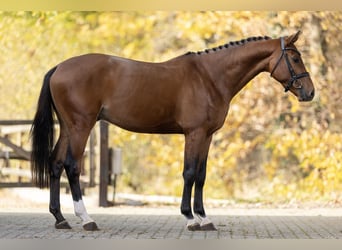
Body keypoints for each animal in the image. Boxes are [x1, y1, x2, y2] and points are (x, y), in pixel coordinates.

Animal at [31, 31, 316, 232]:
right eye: (294, 58)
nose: (310, 92)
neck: (210, 77)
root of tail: (59, 68)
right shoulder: (194, 133)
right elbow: (189, 173)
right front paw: (190, 218)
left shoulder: (207, 136)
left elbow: (201, 175)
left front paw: (204, 218)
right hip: (81, 126)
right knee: (72, 166)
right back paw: (86, 219)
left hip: (68, 127)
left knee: (55, 164)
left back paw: (60, 218)